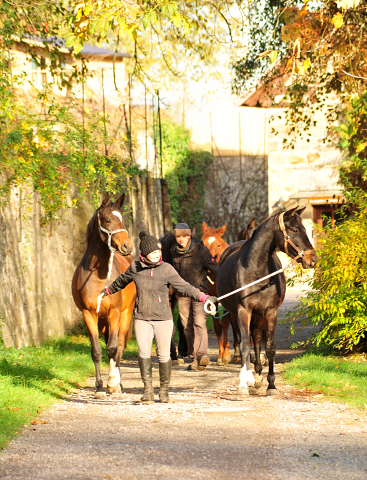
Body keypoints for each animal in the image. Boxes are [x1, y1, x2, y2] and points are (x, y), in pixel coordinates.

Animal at [71, 193, 136, 396]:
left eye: (123, 219)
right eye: (108, 220)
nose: (127, 246)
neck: (96, 275)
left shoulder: (115, 312)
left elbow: (114, 349)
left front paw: (112, 383)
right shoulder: (88, 314)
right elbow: (97, 351)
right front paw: (99, 387)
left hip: (125, 314)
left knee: (120, 345)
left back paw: (118, 382)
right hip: (103, 320)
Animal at [217, 208, 318, 396]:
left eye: (305, 229)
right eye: (295, 229)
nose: (313, 260)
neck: (257, 271)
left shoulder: (271, 312)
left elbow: (270, 347)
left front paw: (271, 385)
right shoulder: (244, 311)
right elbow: (244, 347)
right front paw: (243, 385)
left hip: (259, 315)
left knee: (256, 337)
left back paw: (257, 375)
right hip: (237, 314)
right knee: (246, 341)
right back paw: (250, 377)